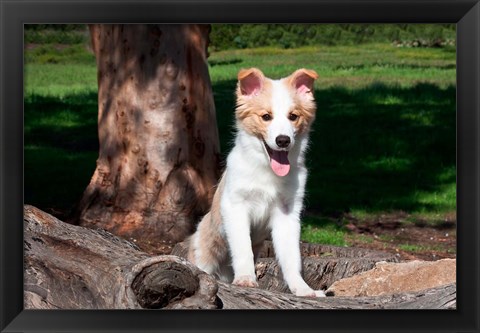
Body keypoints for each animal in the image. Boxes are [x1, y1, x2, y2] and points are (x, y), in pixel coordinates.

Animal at [186, 67, 324, 296]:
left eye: (293, 116)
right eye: (266, 116)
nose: (283, 140)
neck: (267, 171)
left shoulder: (287, 213)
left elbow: (291, 257)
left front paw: (302, 288)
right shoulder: (236, 206)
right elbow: (243, 248)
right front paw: (245, 279)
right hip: (203, 250)